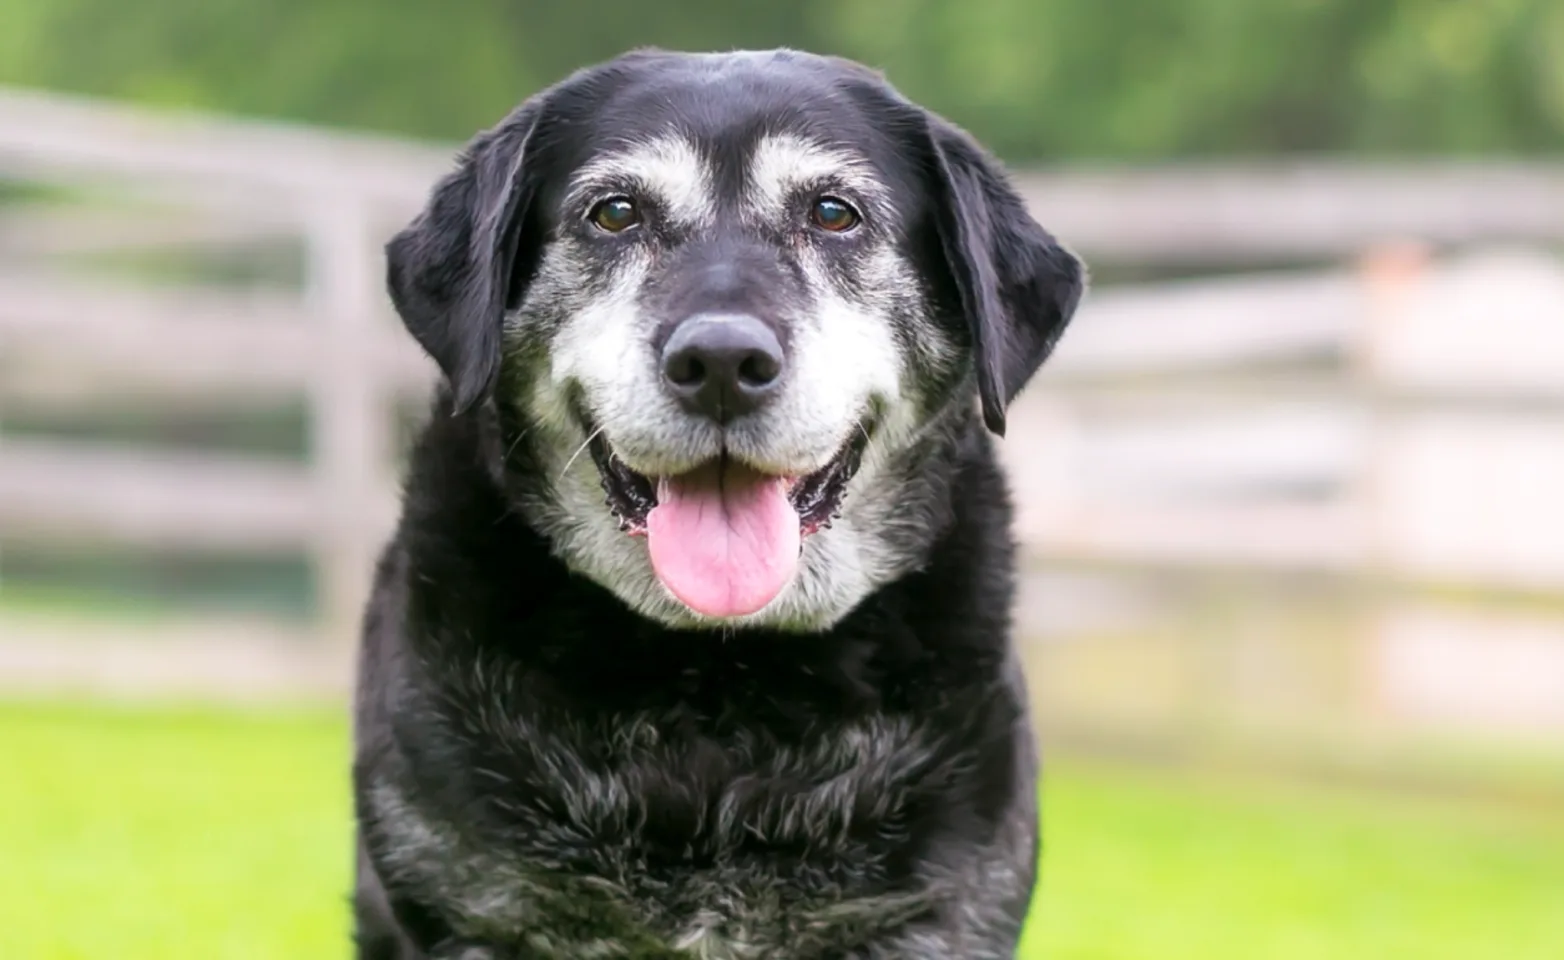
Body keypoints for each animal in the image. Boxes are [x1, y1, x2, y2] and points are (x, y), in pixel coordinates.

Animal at [355, 47, 1088, 960]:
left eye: (834, 213)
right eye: (617, 212)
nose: (722, 362)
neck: (720, 678)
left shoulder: (930, 914)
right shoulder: (473, 903)